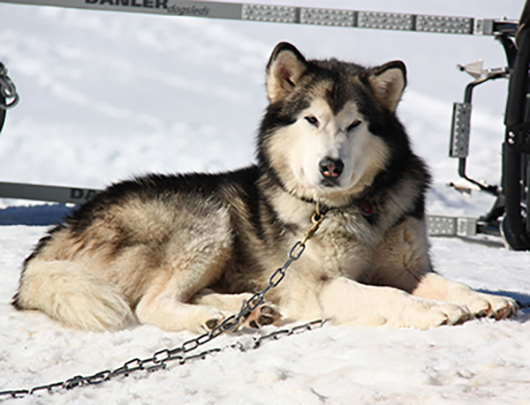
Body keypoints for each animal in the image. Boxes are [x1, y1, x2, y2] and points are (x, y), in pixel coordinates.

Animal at [13, 41, 516, 332]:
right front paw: (432, 312)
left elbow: (444, 282)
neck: (348, 208)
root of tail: (61, 228)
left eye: (354, 124)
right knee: (151, 304)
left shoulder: (406, 266)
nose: (330, 167)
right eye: (311, 119)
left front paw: (486, 300)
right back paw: (217, 316)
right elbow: (385, 294)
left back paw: (246, 309)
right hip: (207, 219)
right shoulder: (320, 285)